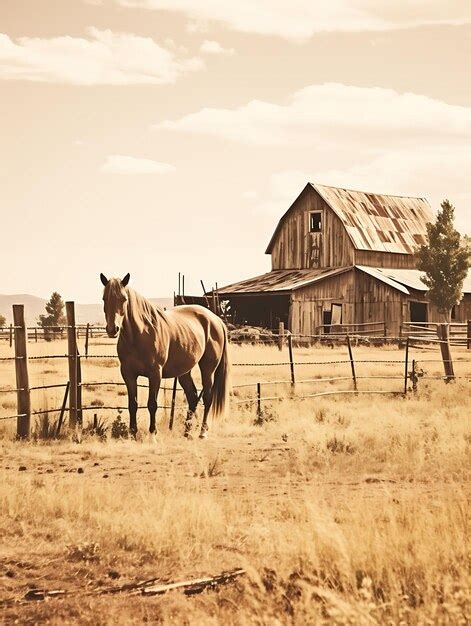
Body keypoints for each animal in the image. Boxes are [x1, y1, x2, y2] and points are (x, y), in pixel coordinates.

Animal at [101, 272, 230, 438]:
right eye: (104, 298)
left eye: (124, 299)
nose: (113, 329)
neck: (140, 334)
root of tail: (216, 320)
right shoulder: (128, 374)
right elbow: (132, 404)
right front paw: (133, 433)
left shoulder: (155, 373)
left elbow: (152, 404)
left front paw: (153, 433)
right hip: (184, 372)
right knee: (193, 397)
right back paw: (187, 432)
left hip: (208, 369)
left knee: (207, 398)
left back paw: (202, 432)